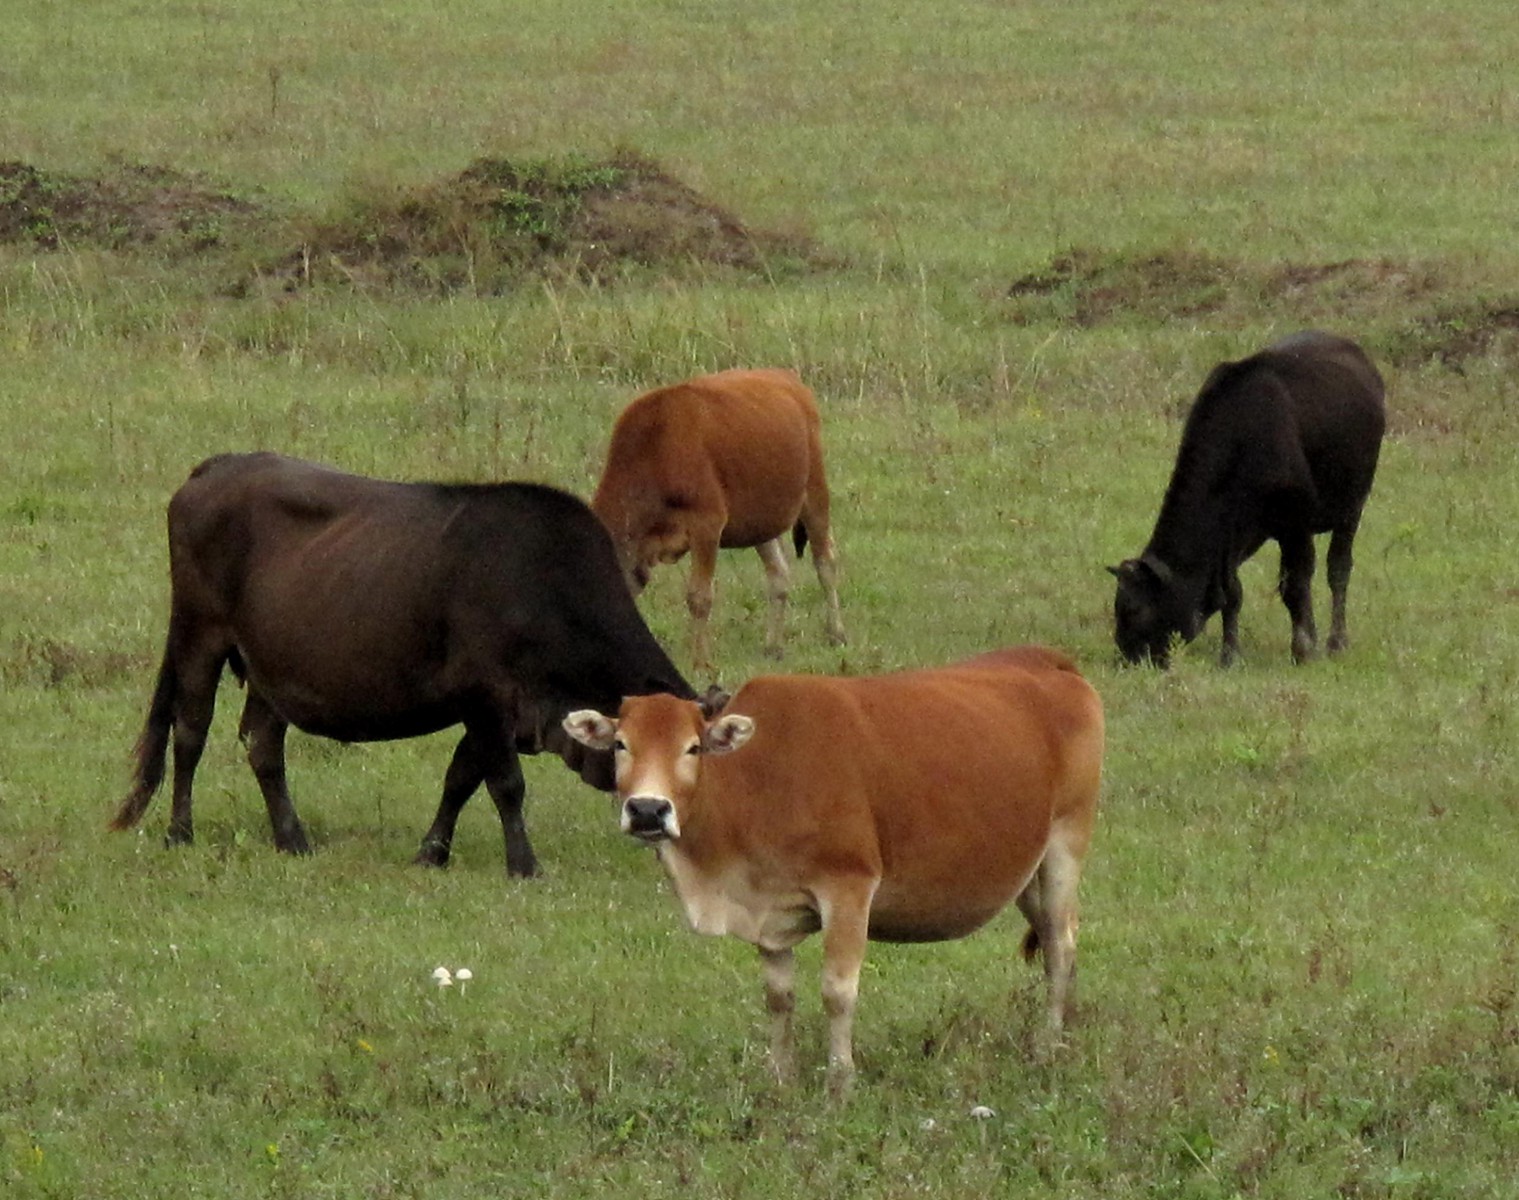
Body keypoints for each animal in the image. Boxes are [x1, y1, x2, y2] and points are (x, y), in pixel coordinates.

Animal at [110, 449, 692, 874]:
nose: (657, 817)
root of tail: (217, 465)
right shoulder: (485, 696)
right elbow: (505, 784)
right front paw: (524, 866)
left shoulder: (493, 710)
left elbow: (461, 778)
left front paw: (432, 853)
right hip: (199, 634)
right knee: (190, 732)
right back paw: (179, 832)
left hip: (271, 666)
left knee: (263, 745)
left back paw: (292, 839)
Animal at [568, 647, 1105, 1099]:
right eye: (620, 744)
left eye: (693, 748)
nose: (648, 810)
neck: (755, 783)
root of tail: (1047, 659)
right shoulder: (768, 911)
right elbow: (779, 997)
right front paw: (780, 1077)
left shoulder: (848, 887)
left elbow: (837, 993)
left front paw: (839, 1084)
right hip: (1027, 871)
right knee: (1055, 941)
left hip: (1065, 843)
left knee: (1061, 944)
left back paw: (1047, 1045)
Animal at [589, 366, 850, 677]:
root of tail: (786, 377)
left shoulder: (707, 525)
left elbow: (699, 597)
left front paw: (700, 662)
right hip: (760, 522)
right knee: (779, 574)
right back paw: (772, 646)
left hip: (815, 496)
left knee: (825, 563)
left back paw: (836, 633)